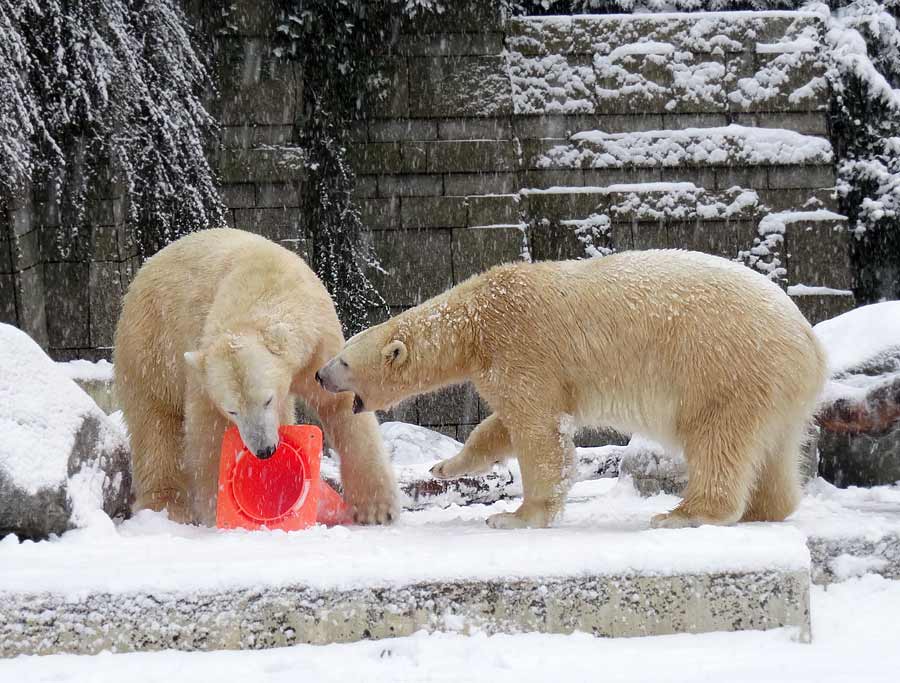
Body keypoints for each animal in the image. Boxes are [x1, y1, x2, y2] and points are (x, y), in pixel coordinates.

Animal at [115, 227, 398, 528]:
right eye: (232, 411)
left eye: (267, 400)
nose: (264, 450)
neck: (266, 282)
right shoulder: (204, 368)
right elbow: (209, 430)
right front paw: (219, 506)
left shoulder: (318, 345)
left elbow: (338, 403)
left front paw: (377, 509)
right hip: (152, 343)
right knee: (154, 420)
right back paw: (166, 506)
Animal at [314, 250, 824, 528]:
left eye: (344, 359)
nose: (320, 374)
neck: (476, 319)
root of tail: (811, 344)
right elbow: (501, 424)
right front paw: (446, 466)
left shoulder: (521, 344)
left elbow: (539, 430)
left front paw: (513, 516)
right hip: (774, 388)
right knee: (774, 448)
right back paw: (766, 509)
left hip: (726, 369)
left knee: (718, 440)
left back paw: (685, 513)